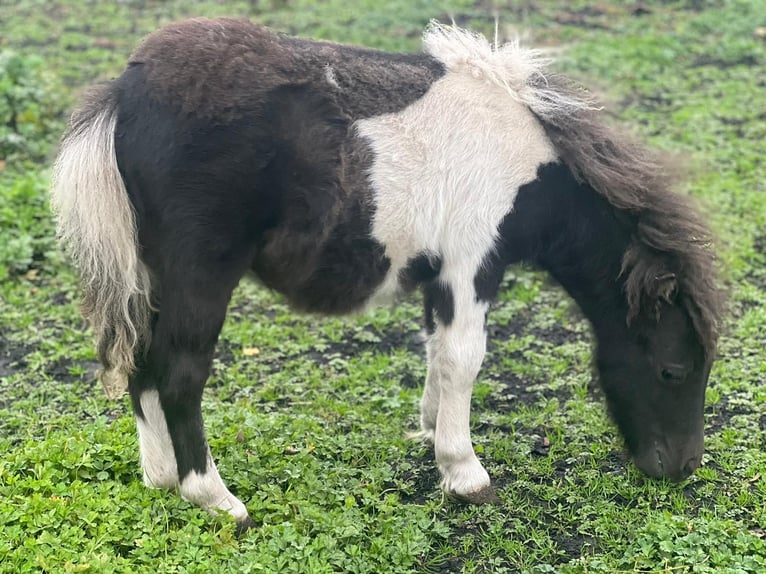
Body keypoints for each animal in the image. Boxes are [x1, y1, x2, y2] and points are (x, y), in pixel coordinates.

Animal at [52, 18, 728, 532]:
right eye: (673, 369)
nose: (682, 468)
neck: (527, 164)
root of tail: (125, 90)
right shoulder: (473, 262)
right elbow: (464, 357)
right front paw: (465, 473)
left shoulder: (441, 272)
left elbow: (436, 349)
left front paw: (429, 432)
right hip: (200, 272)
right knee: (180, 374)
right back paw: (215, 498)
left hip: (151, 274)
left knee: (141, 363)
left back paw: (161, 477)